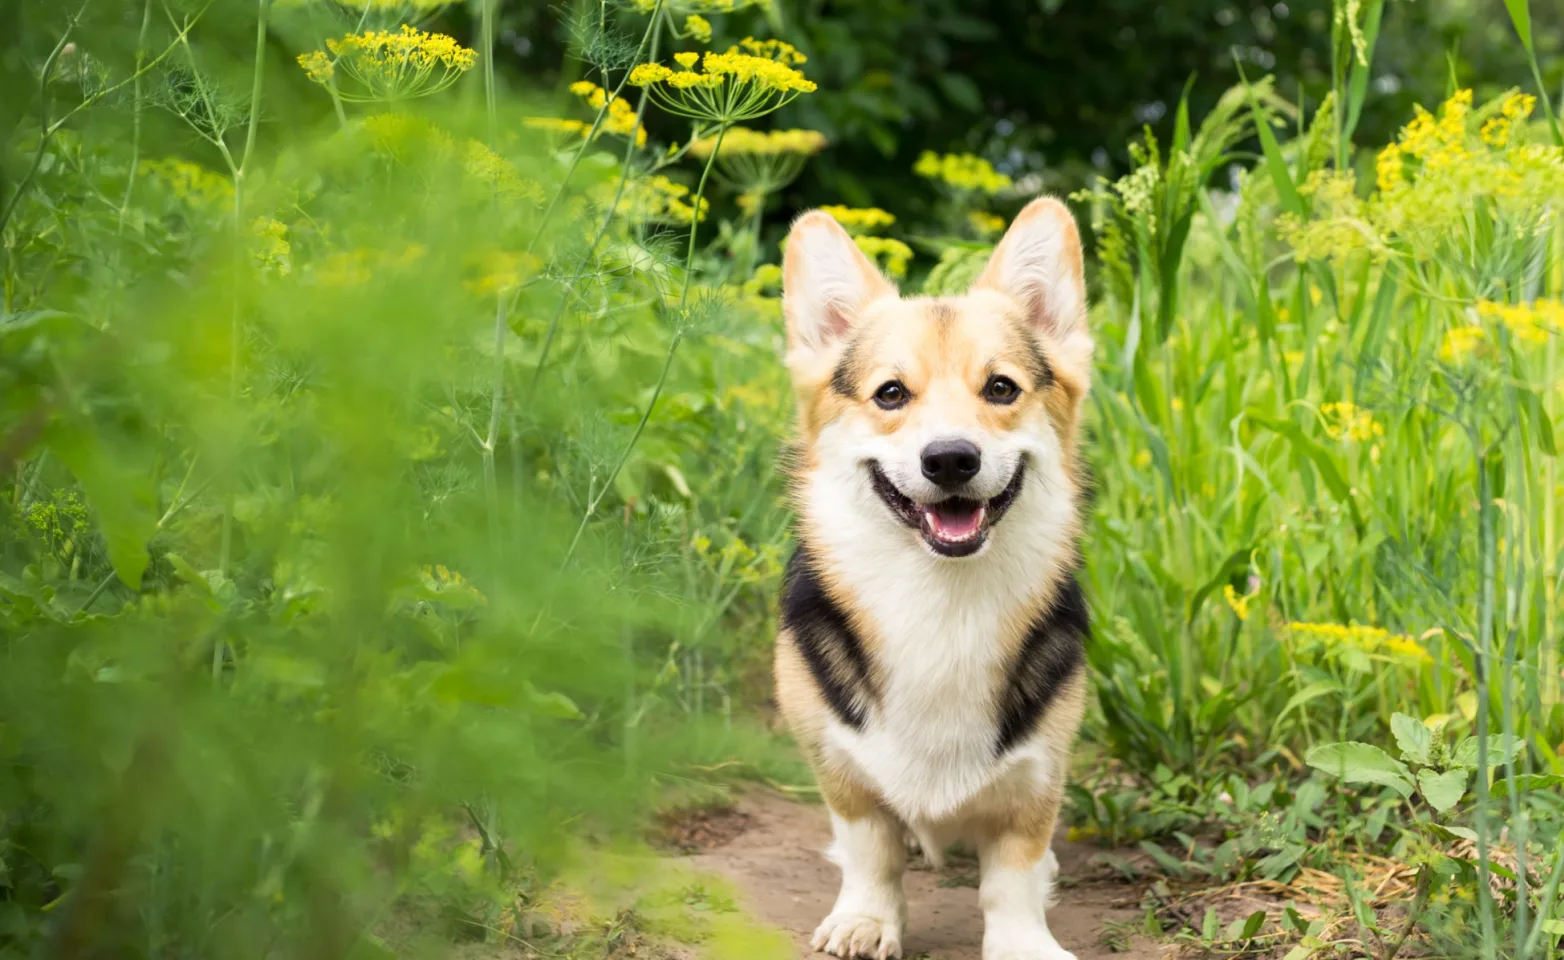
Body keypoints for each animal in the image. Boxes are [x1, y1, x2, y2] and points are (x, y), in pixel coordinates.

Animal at [775, 197, 1094, 960]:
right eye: (891, 393)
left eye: (1001, 387)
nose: (950, 459)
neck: (942, 600)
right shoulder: (837, 763)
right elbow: (870, 848)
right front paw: (866, 920)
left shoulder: (1038, 773)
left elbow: (1013, 873)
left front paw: (1022, 941)